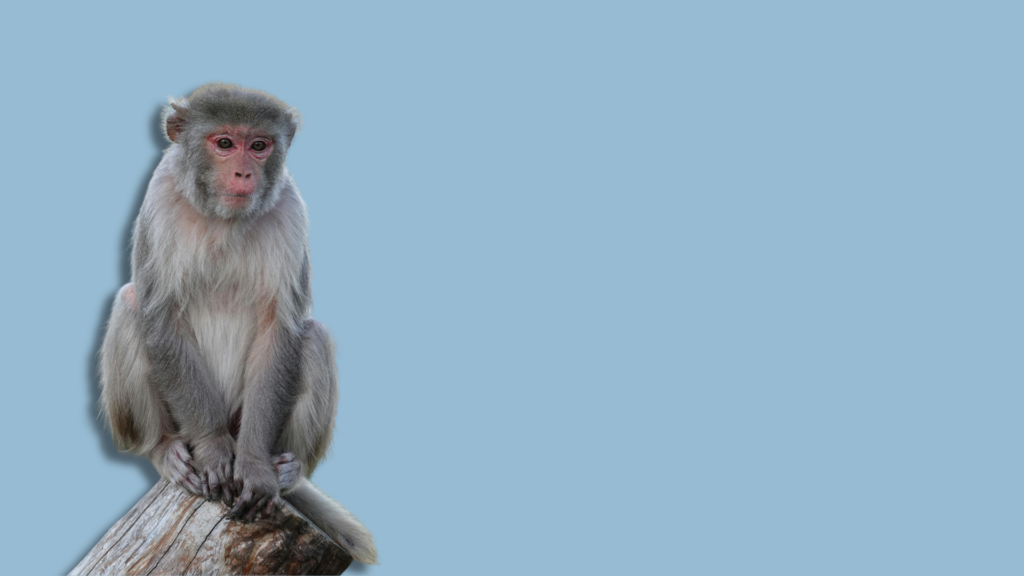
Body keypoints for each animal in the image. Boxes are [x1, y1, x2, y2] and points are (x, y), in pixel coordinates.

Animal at [98, 83, 377, 565]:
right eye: (225, 143)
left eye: (259, 146)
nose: (245, 173)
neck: (221, 219)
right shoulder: (160, 199)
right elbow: (158, 313)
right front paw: (212, 450)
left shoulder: (290, 211)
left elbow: (280, 327)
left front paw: (254, 467)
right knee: (131, 306)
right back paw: (164, 448)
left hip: (247, 417)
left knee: (312, 337)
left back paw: (288, 470)